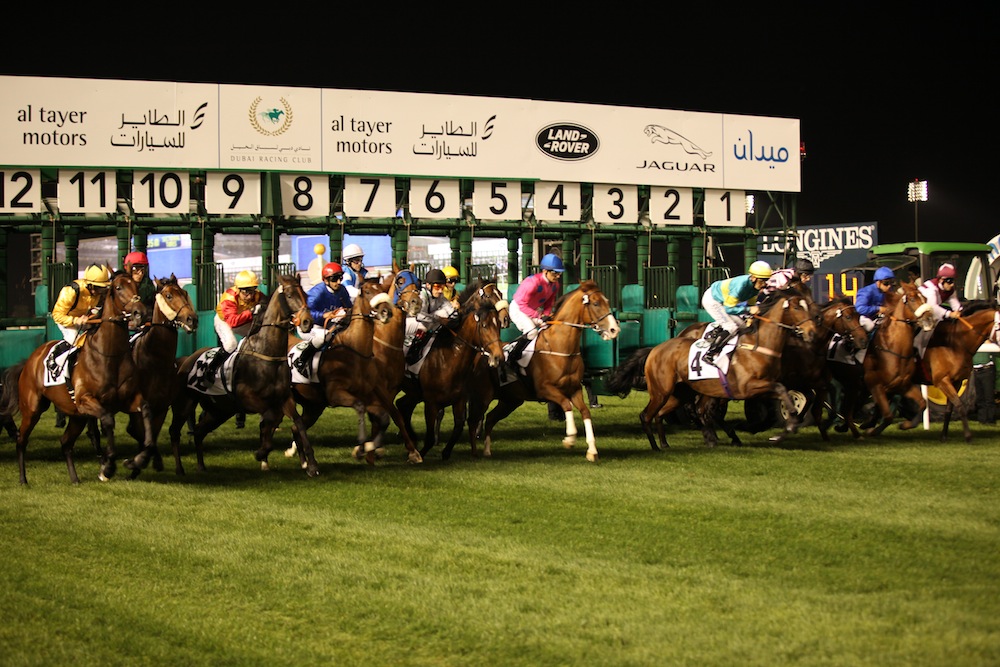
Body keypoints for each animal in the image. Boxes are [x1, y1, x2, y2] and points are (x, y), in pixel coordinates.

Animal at [0, 272, 146, 486]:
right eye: (118, 288)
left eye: (137, 285)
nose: (139, 312)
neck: (110, 356)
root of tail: (29, 361)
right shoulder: (87, 400)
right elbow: (108, 421)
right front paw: (108, 467)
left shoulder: (130, 399)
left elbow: (140, 426)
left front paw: (139, 462)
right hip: (33, 409)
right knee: (21, 440)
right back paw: (23, 479)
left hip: (77, 416)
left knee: (65, 443)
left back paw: (75, 478)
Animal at [122, 274, 198, 478]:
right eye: (169, 296)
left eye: (185, 293)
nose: (192, 319)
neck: (154, 361)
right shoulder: (137, 406)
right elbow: (140, 433)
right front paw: (137, 463)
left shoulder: (162, 406)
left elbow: (152, 435)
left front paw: (151, 461)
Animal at [166, 276, 318, 474]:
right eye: (290, 295)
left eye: (305, 294)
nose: (307, 322)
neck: (267, 355)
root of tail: (185, 360)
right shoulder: (250, 400)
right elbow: (271, 419)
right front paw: (261, 453)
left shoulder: (285, 399)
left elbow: (297, 423)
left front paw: (311, 465)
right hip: (184, 404)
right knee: (174, 431)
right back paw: (179, 469)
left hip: (219, 410)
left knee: (199, 431)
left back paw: (201, 466)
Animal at [466, 280, 616, 462]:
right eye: (595, 303)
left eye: (607, 301)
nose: (614, 329)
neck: (560, 347)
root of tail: (481, 353)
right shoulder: (545, 389)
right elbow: (566, 404)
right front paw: (569, 438)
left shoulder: (574, 389)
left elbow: (585, 412)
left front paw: (592, 451)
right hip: (483, 397)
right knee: (474, 420)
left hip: (510, 400)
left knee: (490, 418)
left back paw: (487, 450)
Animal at [916, 300, 996, 440]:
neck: (956, 343)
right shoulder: (942, 380)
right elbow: (960, 405)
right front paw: (968, 435)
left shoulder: (956, 380)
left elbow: (950, 408)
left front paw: (943, 436)